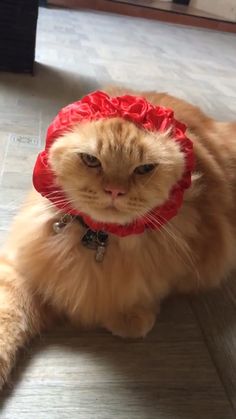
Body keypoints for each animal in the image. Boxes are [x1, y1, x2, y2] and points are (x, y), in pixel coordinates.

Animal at [0, 89, 236, 390]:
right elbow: (9, 315)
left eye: (144, 168)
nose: (114, 190)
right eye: (91, 160)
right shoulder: (24, 269)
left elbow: (153, 286)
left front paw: (129, 313)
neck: (98, 237)